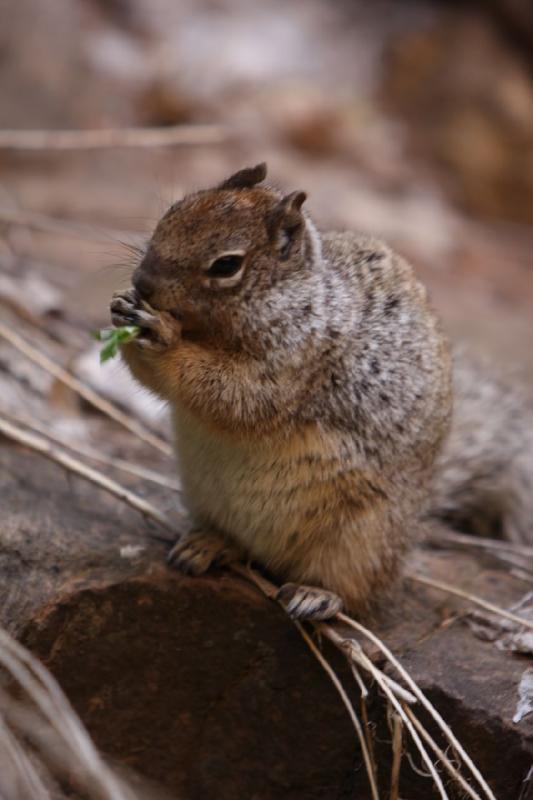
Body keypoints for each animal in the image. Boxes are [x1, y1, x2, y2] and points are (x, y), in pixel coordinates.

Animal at [109, 162, 532, 620]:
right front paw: (122, 308)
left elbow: (230, 393)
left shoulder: (293, 366)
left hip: (360, 539)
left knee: (354, 590)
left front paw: (162, 335)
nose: (142, 282)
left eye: (226, 265)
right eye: (173, 211)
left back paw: (316, 595)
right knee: (241, 547)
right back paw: (208, 544)